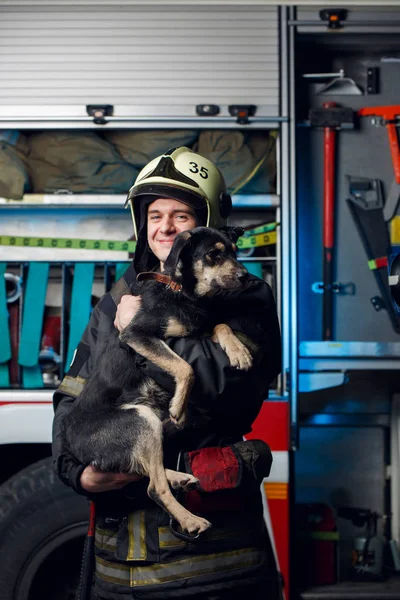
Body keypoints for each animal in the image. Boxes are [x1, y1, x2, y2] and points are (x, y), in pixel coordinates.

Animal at [61, 227, 256, 536]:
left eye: (235, 252)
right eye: (213, 254)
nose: (246, 277)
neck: (184, 293)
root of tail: (72, 444)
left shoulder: (197, 329)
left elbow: (221, 325)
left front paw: (239, 351)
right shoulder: (138, 334)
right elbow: (186, 366)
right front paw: (179, 405)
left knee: (142, 468)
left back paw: (177, 478)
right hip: (141, 419)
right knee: (153, 487)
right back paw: (190, 519)